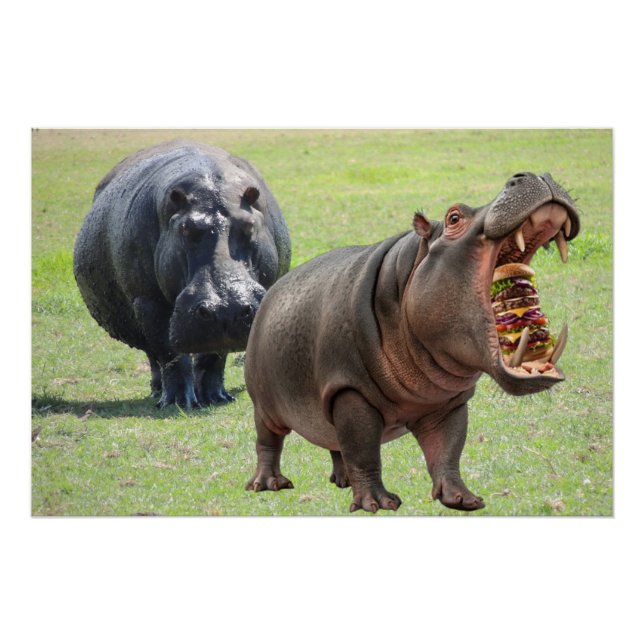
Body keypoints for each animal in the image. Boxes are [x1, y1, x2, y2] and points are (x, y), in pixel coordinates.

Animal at [73, 140, 290, 407]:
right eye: (185, 229)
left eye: (249, 226)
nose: (226, 309)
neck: (212, 190)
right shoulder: (148, 300)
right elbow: (169, 352)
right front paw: (178, 402)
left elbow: (214, 356)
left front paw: (215, 398)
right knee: (153, 354)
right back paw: (158, 391)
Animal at [244, 172, 580, 513]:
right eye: (454, 217)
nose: (532, 174)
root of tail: (273, 289)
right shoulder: (350, 390)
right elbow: (363, 451)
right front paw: (378, 504)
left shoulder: (449, 402)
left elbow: (447, 450)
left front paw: (464, 500)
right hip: (265, 405)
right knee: (268, 441)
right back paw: (269, 484)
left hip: (323, 403)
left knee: (334, 442)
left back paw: (342, 481)